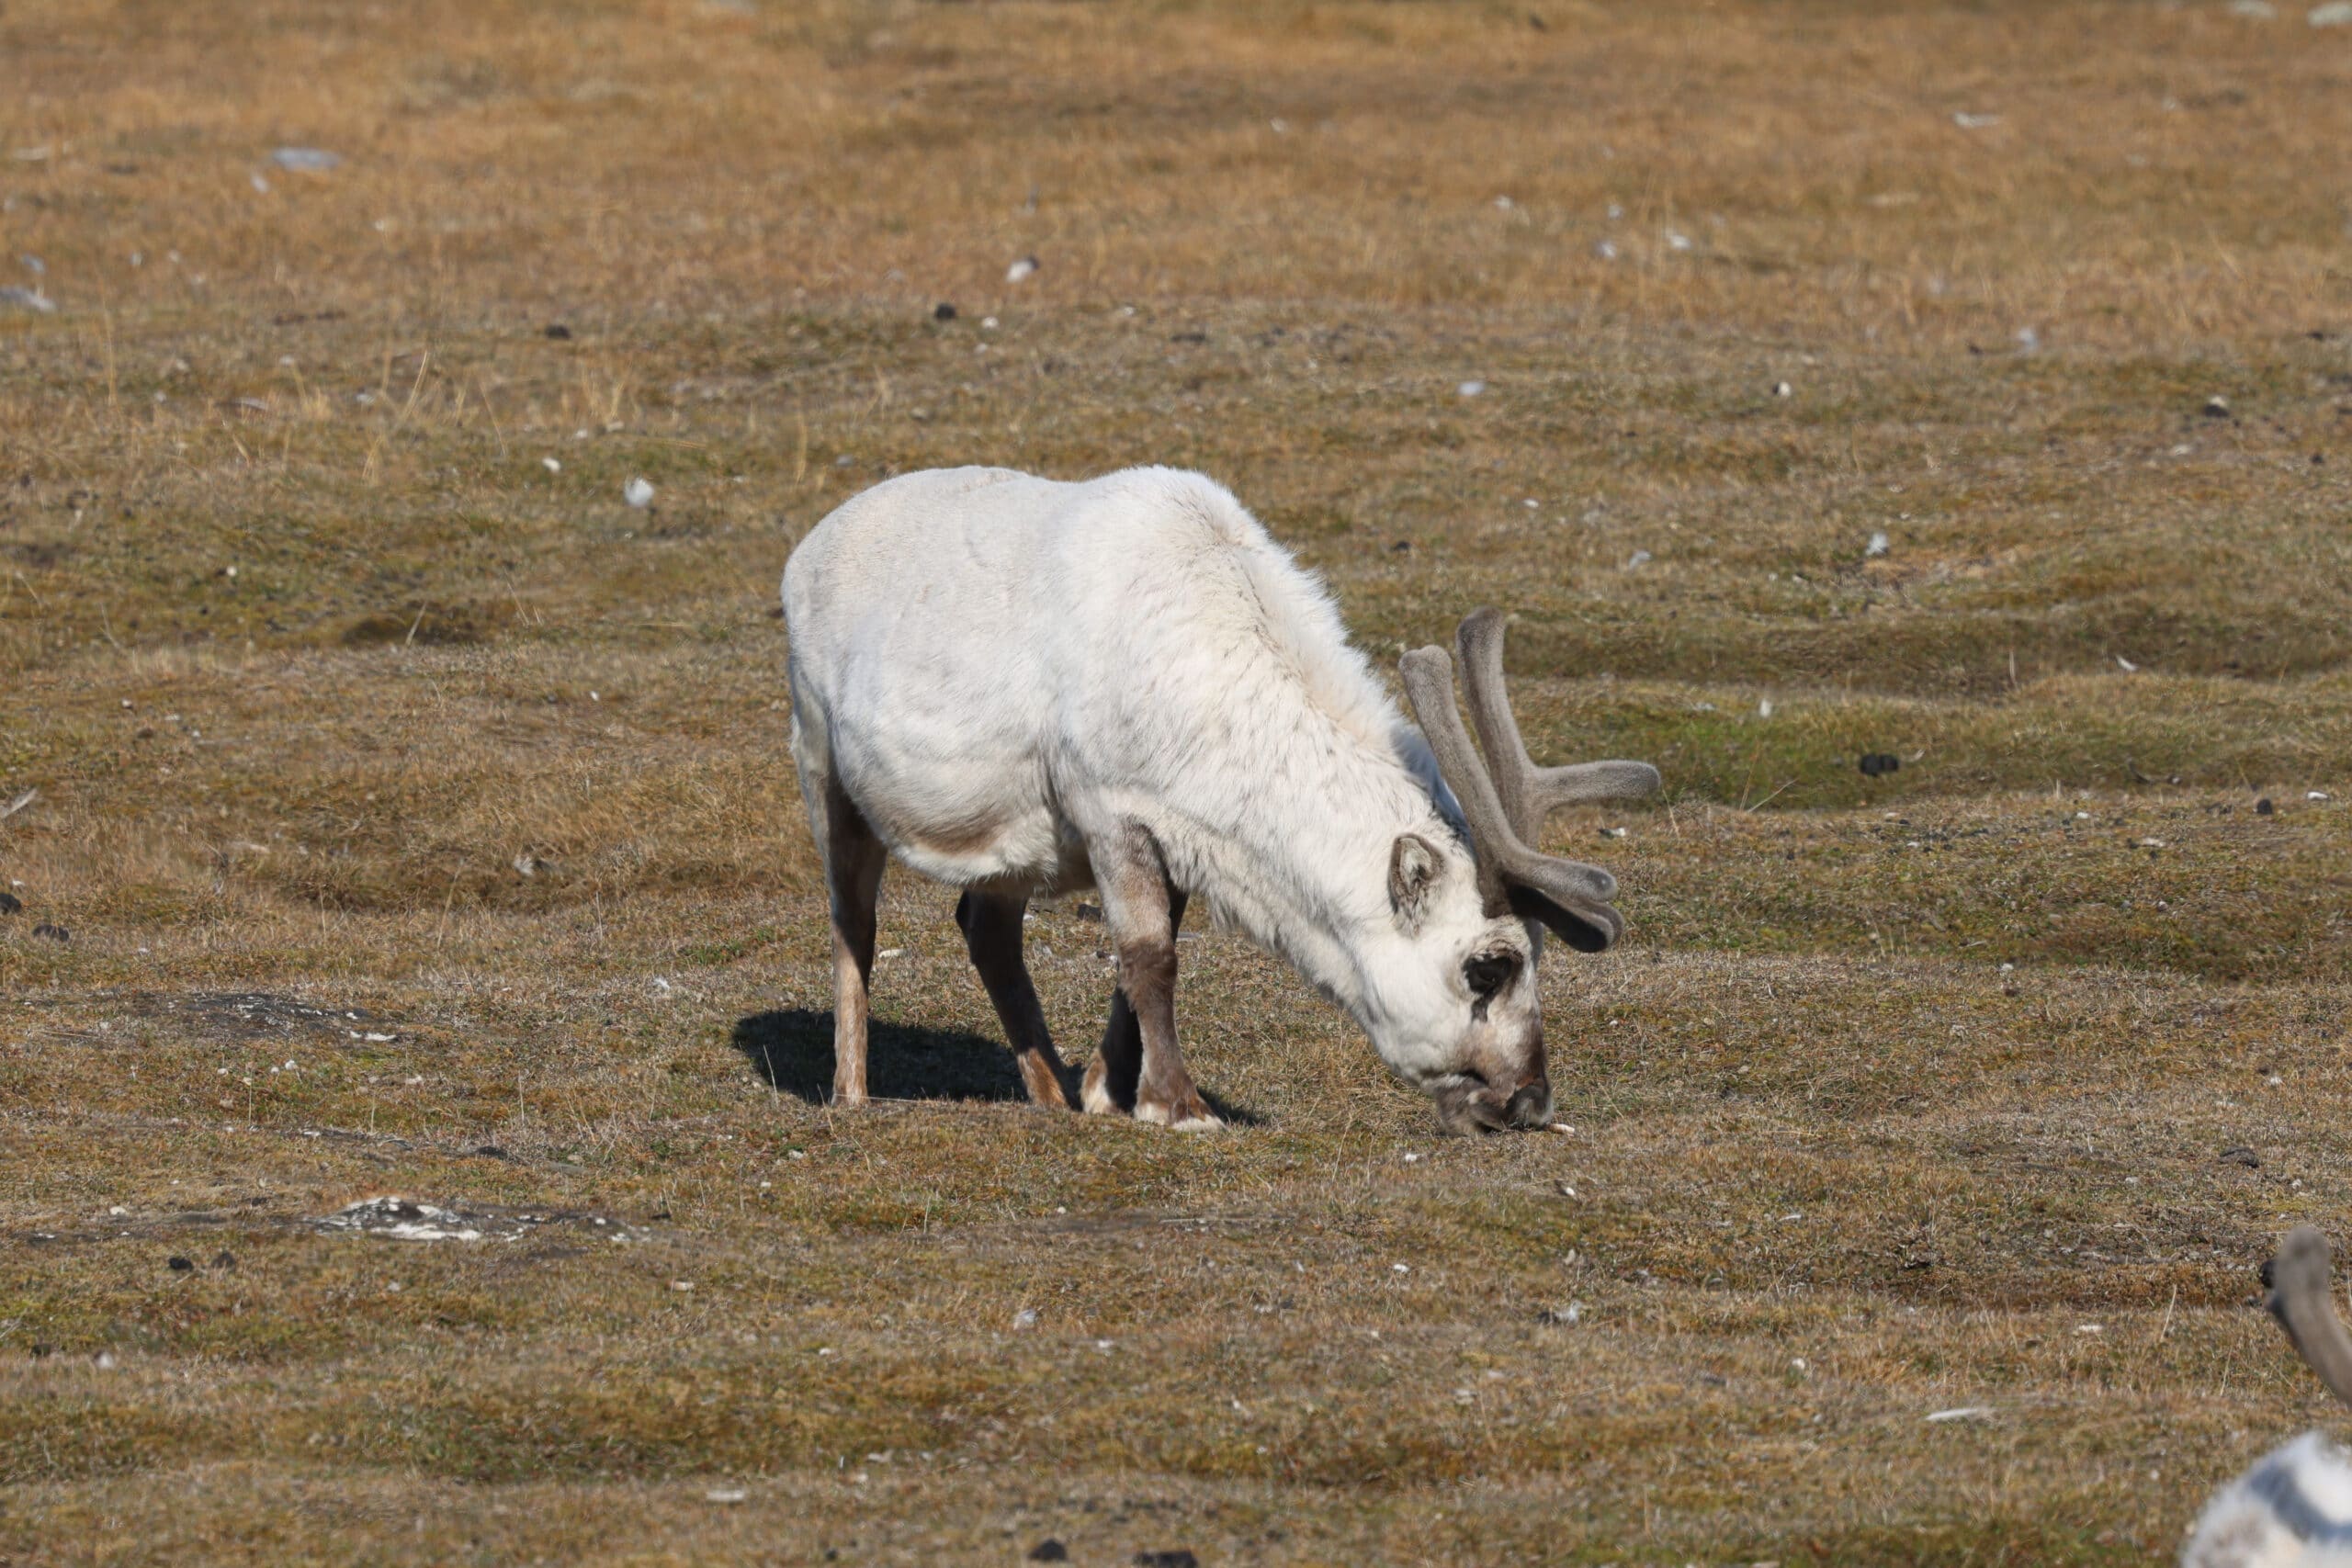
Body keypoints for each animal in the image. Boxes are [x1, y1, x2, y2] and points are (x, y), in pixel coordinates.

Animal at [780, 465, 1659, 1134]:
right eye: (1487, 967)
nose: (1529, 1100)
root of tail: (805, 549)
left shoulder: (1176, 831)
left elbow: (1149, 950)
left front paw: (1107, 1091)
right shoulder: (1108, 807)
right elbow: (1149, 955)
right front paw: (1180, 1104)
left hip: (1011, 849)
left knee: (985, 927)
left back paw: (1050, 1091)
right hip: (822, 764)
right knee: (852, 925)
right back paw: (852, 1091)